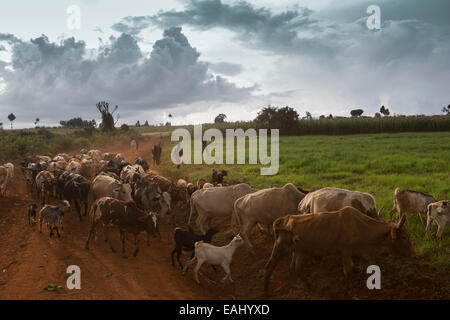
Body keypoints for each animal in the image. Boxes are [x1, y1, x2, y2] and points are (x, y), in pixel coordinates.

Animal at [264, 208, 414, 296]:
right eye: (404, 237)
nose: (414, 254)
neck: (361, 226)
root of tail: (283, 219)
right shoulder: (345, 252)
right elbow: (348, 270)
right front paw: (349, 291)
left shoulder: (363, 253)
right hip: (280, 247)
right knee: (269, 266)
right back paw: (266, 292)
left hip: (299, 251)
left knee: (295, 268)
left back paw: (309, 287)